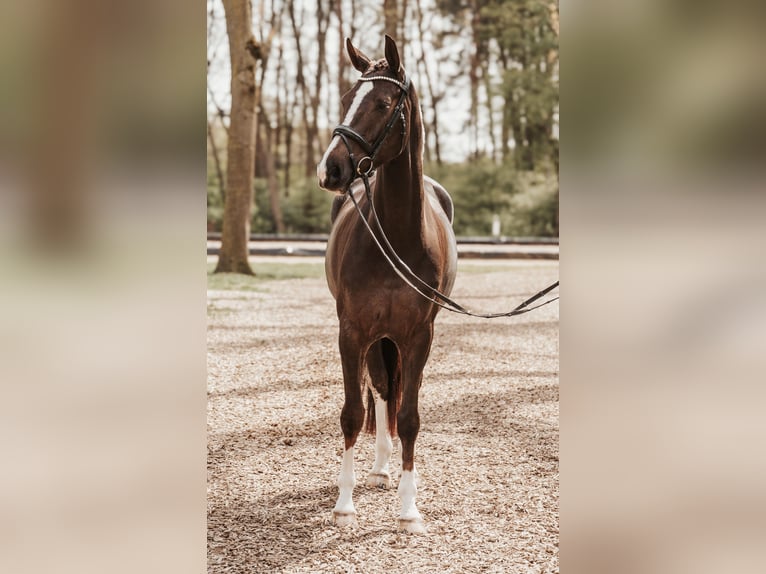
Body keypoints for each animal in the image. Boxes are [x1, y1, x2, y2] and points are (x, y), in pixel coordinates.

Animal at [317, 35, 458, 534]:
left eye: (381, 103)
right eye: (345, 100)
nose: (331, 170)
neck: (398, 232)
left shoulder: (419, 335)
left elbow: (410, 416)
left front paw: (409, 509)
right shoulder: (352, 331)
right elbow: (352, 413)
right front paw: (344, 504)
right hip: (375, 335)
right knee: (379, 390)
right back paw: (377, 468)